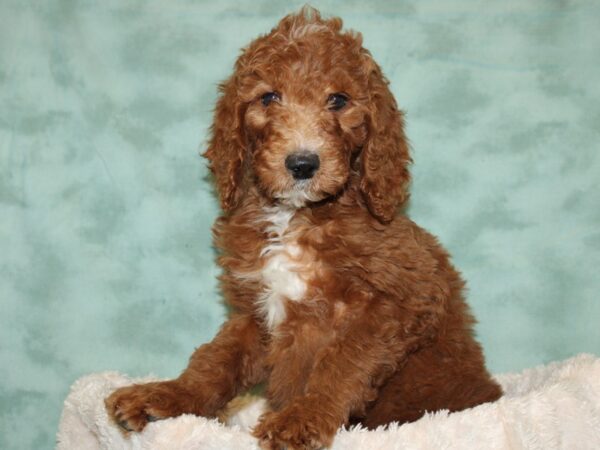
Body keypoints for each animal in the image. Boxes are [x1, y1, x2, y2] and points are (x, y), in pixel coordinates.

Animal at [104, 7, 502, 450]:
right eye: (268, 97)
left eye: (339, 100)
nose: (302, 163)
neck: (298, 217)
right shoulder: (255, 310)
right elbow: (215, 359)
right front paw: (168, 395)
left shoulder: (405, 299)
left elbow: (343, 359)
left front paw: (304, 416)